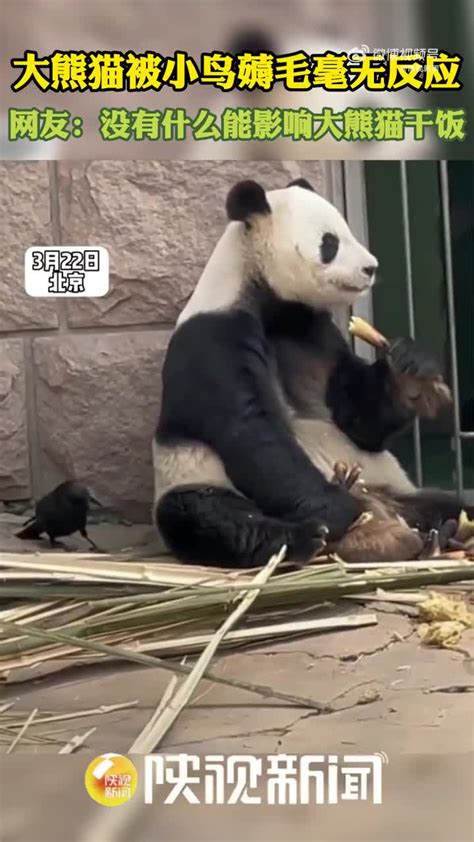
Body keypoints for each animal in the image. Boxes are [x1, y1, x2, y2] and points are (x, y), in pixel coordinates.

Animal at [153, 180, 470, 568]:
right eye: (329, 243)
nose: (371, 267)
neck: (267, 299)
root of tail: (384, 505)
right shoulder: (214, 340)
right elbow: (251, 432)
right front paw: (337, 509)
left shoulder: (313, 332)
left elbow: (358, 420)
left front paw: (411, 370)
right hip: (194, 476)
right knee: (208, 516)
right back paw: (338, 536)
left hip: (393, 485)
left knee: (445, 504)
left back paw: (440, 531)